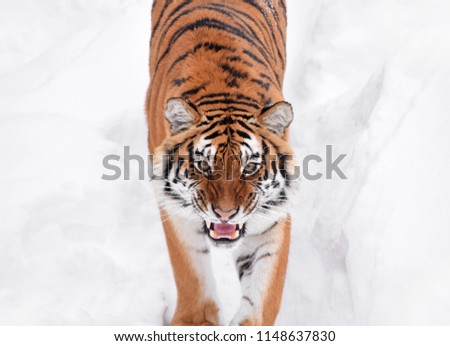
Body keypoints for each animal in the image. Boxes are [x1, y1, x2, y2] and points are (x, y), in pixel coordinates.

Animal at [146, 0, 298, 326]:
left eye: (250, 167)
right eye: (204, 165)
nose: (226, 214)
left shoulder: (270, 219)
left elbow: (261, 299)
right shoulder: (176, 211)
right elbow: (191, 274)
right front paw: (196, 321)